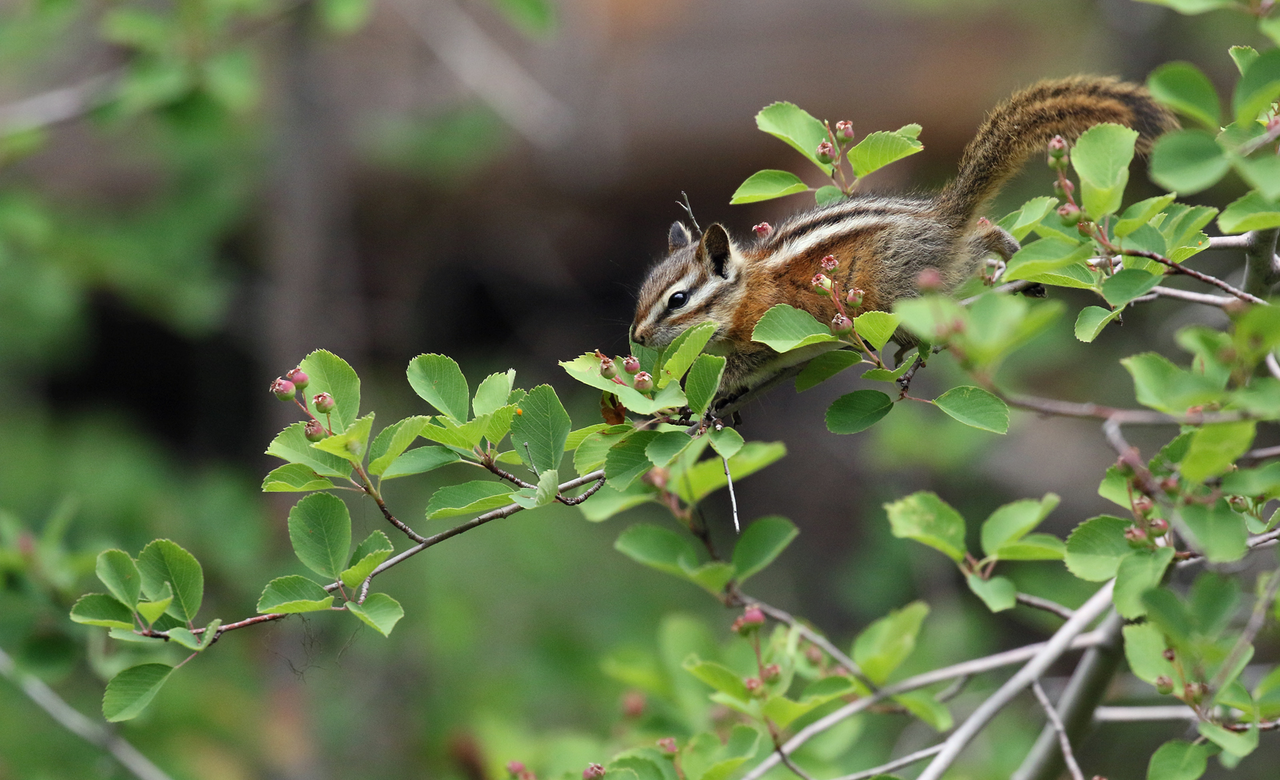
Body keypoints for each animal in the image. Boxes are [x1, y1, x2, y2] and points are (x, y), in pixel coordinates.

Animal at [629, 77, 1178, 397]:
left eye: (678, 300)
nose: (635, 337)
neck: (743, 291)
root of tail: (942, 217)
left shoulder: (764, 332)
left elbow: (741, 369)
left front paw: (710, 402)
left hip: (894, 288)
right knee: (980, 233)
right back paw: (1009, 249)